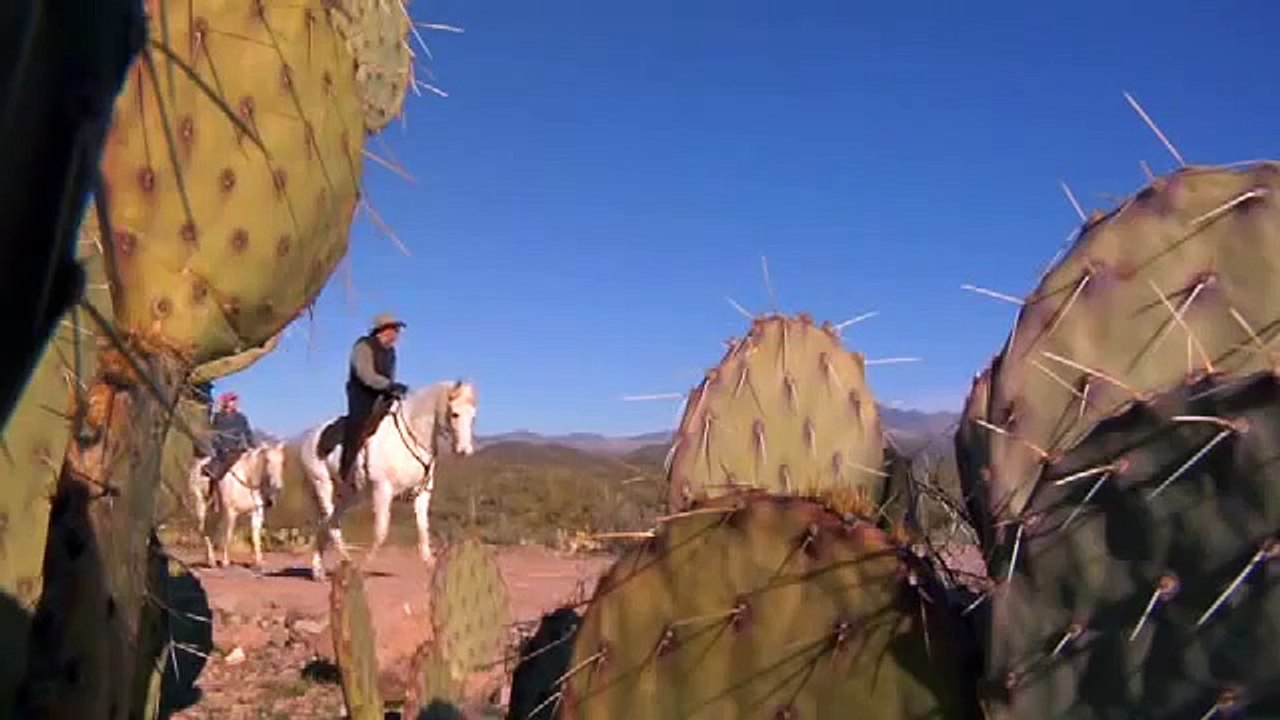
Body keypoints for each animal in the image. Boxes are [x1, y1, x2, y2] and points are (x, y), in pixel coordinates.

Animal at [297, 379, 478, 581]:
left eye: (473, 416)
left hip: (348, 496)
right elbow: (381, 532)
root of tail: (310, 436)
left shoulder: (422, 494)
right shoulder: (382, 491)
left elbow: (423, 530)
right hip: (322, 486)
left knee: (328, 524)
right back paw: (347, 564)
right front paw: (364, 568)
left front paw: (431, 567)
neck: (411, 437)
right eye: (455, 414)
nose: (465, 451)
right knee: (331, 526)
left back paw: (319, 571)